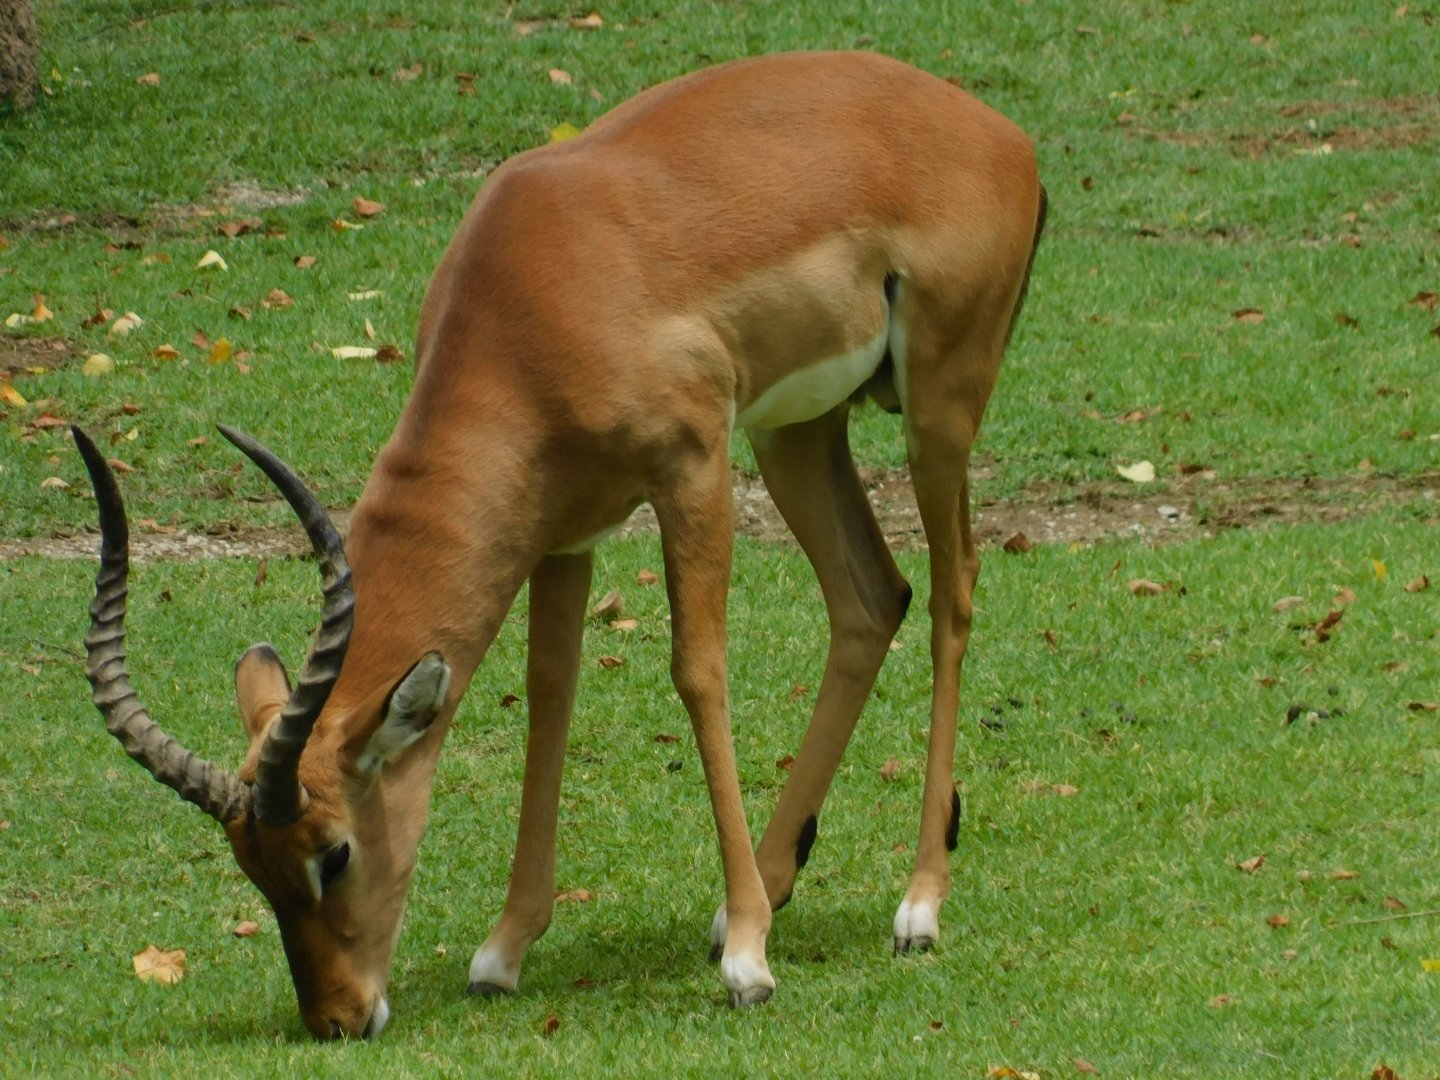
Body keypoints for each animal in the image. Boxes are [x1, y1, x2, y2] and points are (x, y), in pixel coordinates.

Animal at [76, 50, 1045, 1039]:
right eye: (251, 866)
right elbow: (550, 696)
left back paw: (914, 908)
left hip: (936, 408)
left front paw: (748, 963)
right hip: (798, 433)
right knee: (871, 598)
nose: (338, 1018)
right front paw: (503, 952)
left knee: (953, 591)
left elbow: (699, 671)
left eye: (334, 852)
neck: (537, 287)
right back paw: (769, 888)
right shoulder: (562, 530)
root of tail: (1001, 136)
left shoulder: (693, 467)